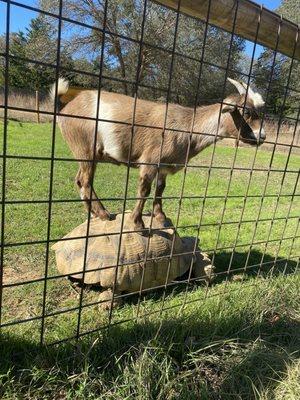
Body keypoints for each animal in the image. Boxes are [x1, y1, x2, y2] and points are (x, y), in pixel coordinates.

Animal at [51, 77, 264, 228]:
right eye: (246, 112)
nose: (262, 136)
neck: (186, 126)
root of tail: (65, 108)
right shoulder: (150, 161)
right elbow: (144, 189)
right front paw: (137, 223)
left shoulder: (164, 166)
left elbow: (160, 188)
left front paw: (160, 216)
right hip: (84, 147)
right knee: (85, 181)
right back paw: (104, 214)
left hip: (86, 153)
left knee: (79, 180)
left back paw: (93, 213)